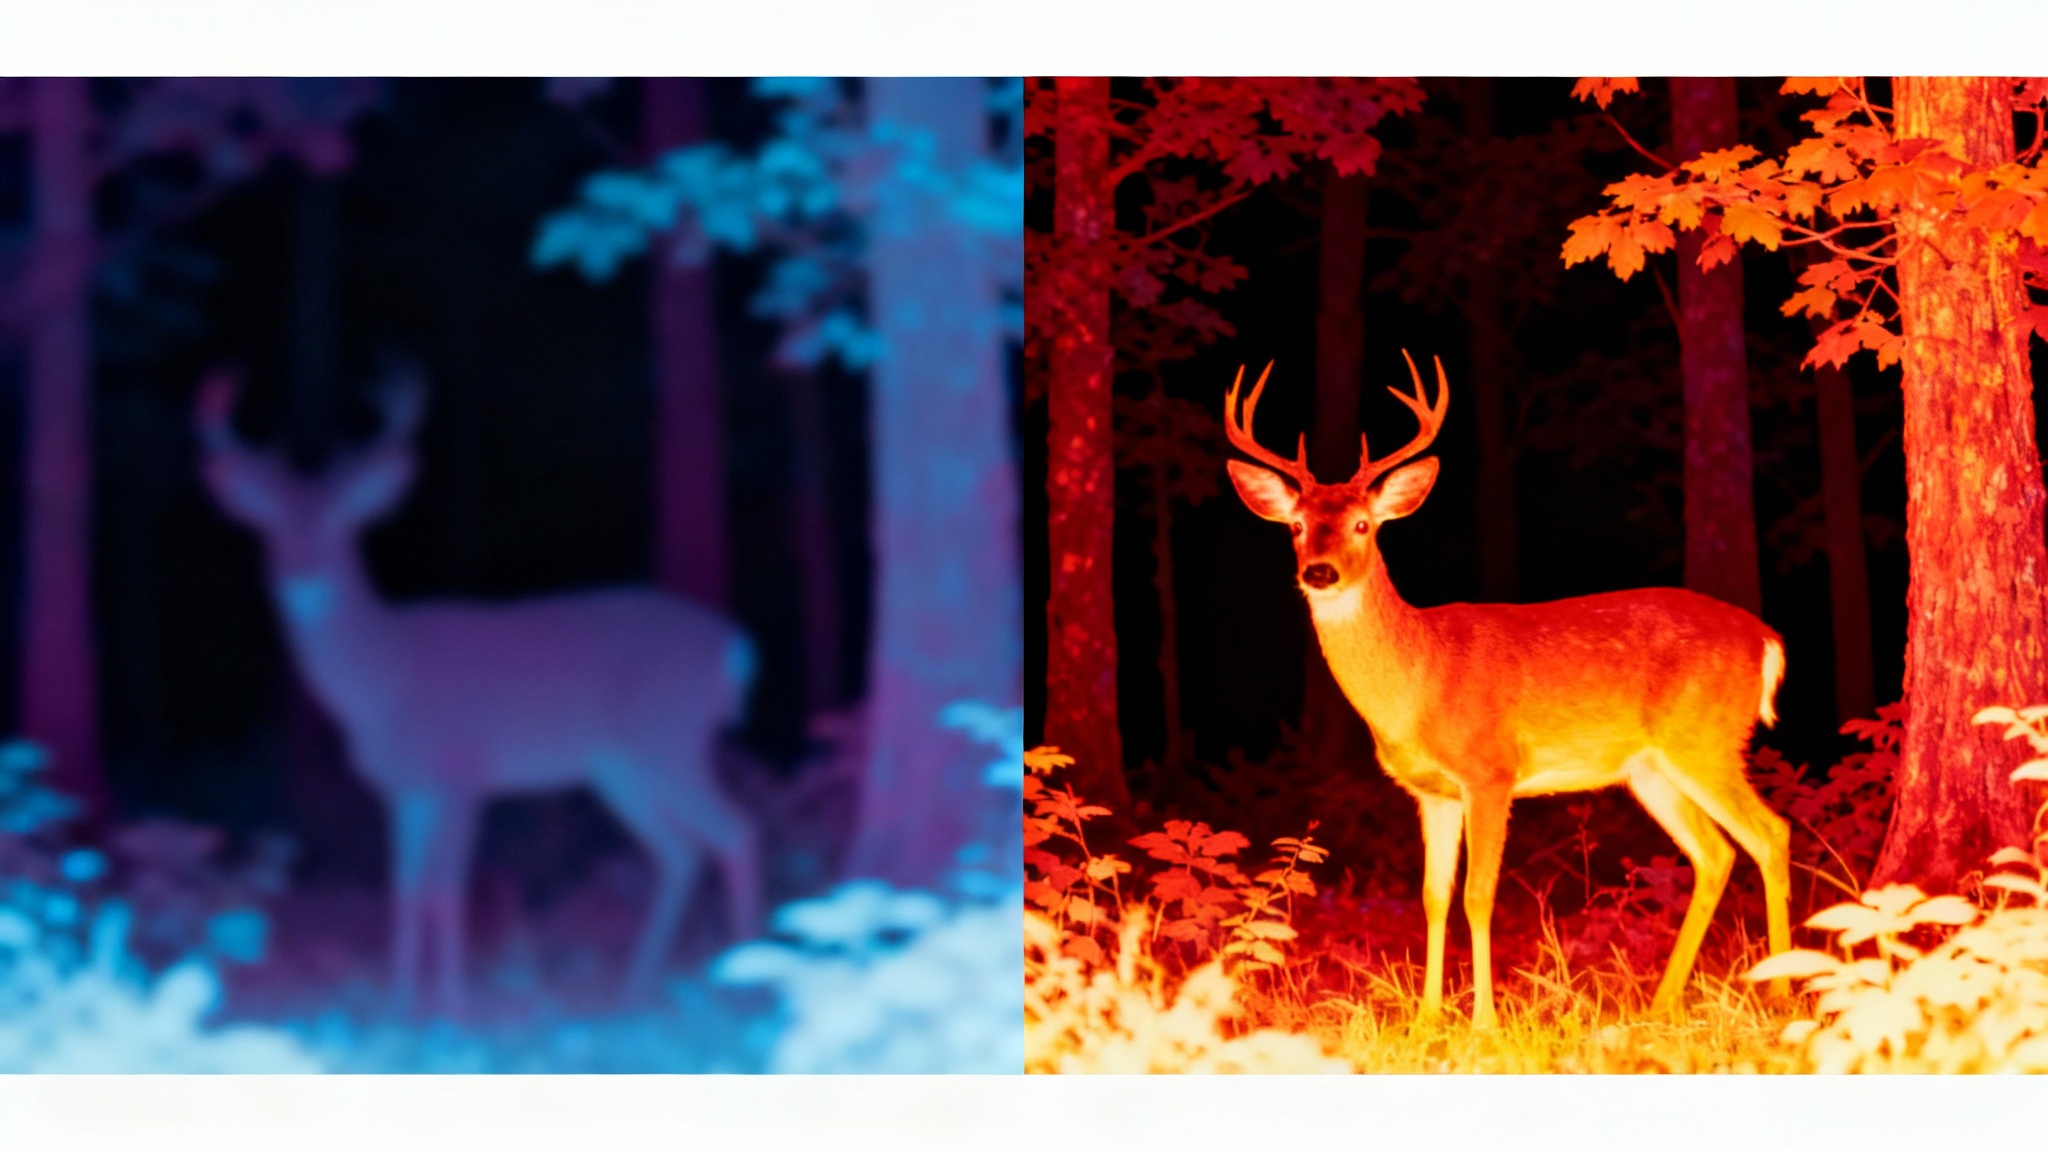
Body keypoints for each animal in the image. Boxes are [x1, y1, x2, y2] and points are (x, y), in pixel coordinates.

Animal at [193, 367, 761, 1018]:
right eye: (268, 525)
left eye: (342, 521)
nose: (299, 576)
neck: (385, 676)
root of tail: (730, 643)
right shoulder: (407, 788)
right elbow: (406, 890)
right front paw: (400, 1005)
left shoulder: (462, 770)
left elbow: (447, 891)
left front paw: (453, 1008)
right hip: (623, 767)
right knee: (681, 852)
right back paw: (635, 987)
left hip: (670, 737)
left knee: (738, 832)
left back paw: (750, 976)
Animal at [1223, 353, 1791, 1029]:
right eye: (1297, 525)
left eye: (1363, 524)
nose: (1319, 572)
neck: (1418, 680)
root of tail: (1766, 639)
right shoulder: (1432, 792)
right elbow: (1433, 896)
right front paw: (1427, 1018)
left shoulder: (1490, 772)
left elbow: (1478, 894)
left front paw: (1484, 1022)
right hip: (1652, 768)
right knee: (1715, 854)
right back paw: (1660, 1004)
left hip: (1705, 739)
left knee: (1770, 834)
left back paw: (1783, 995)